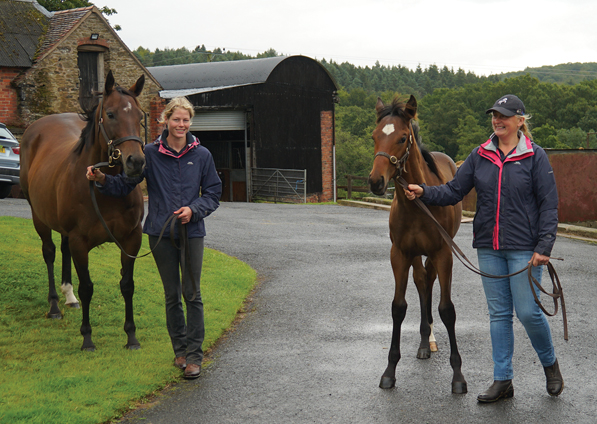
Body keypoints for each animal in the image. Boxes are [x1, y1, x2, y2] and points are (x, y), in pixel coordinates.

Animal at [21, 71, 148, 352]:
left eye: (139, 115)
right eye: (110, 114)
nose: (136, 162)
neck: (107, 188)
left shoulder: (131, 239)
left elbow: (128, 285)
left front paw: (132, 337)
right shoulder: (80, 241)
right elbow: (88, 287)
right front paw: (87, 339)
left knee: (63, 250)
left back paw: (69, 297)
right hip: (39, 218)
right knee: (49, 252)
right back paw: (55, 306)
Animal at [368, 94, 466, 392]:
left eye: (402, 138)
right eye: (374, 136)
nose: (375, 182)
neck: (417, 205)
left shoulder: (443, 253)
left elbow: (447, 309)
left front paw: (458, 376)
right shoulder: (400, 254)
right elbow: (398, 307)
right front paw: (389, 371)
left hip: (435, 254)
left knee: (429, 281)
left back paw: (430, 339)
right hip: (415, 255)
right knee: (422, 282)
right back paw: (425, 342)